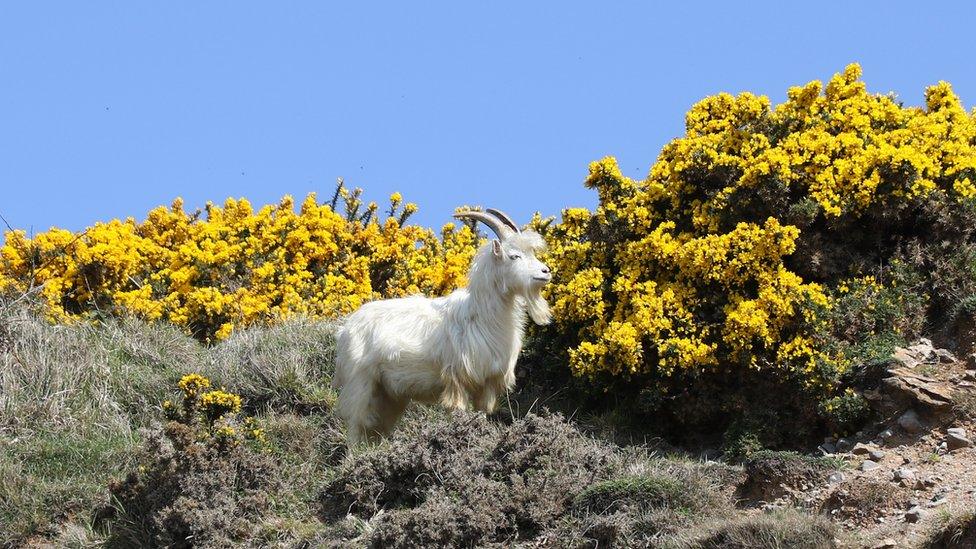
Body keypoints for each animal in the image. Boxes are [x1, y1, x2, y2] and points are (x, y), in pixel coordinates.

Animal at [334, 208, 548, 444]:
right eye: (514, 256)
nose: (545, 271)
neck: (481, 314)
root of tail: (345, 330)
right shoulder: (458, 379)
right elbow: (459, 412)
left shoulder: (486, 384)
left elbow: (482, 414)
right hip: (360, 381)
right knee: (356, 423)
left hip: (387, 393)